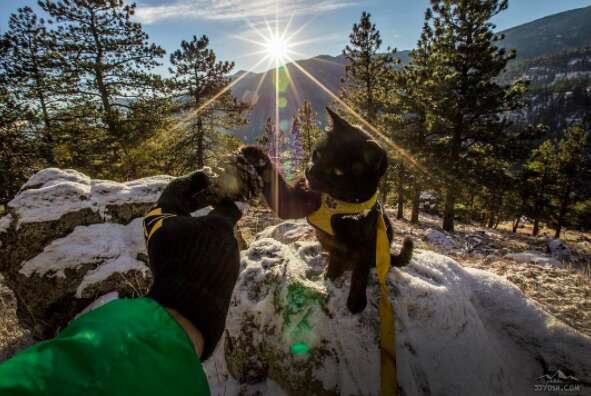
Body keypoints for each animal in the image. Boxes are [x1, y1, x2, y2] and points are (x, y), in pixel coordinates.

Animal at [240, 107, 412, 312]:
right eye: (318, 154)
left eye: (338, 172)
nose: (310, 171)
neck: (337, 203)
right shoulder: (295, 202)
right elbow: (275, 184)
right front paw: (255, 156)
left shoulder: (367, 244)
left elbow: (360, 274)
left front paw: (356, 302)